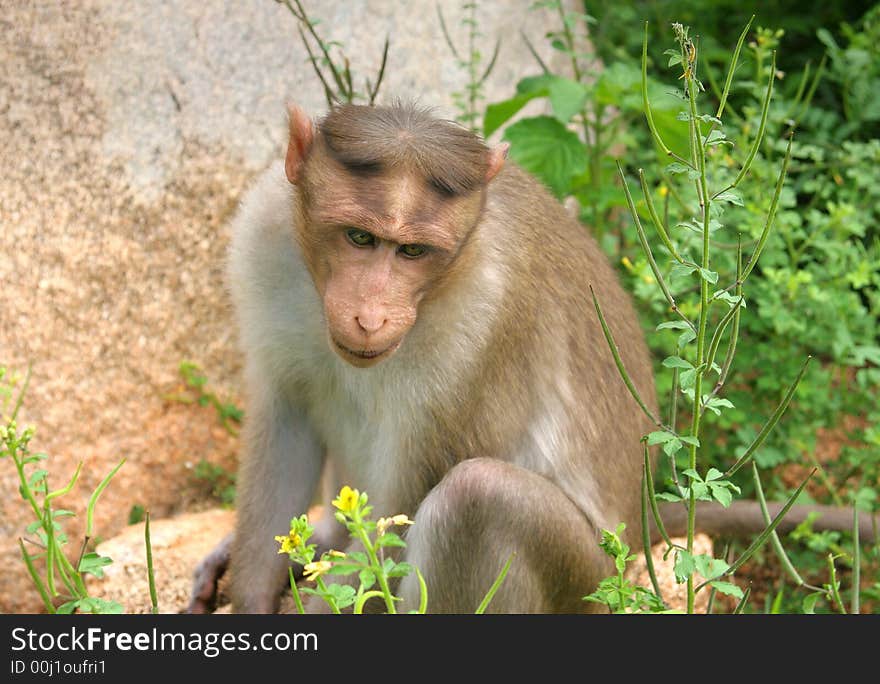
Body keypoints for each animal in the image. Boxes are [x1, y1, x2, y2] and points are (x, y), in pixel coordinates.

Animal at [189, 101, 876, 616]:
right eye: (359, 237)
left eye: (412, 252)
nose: (371, 316)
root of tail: (638, 536)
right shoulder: (265, 235)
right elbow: (287, 419)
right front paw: (253, 596)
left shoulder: (484, 320)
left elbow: (401, 515)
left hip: (587, 579)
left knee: (479, 498)